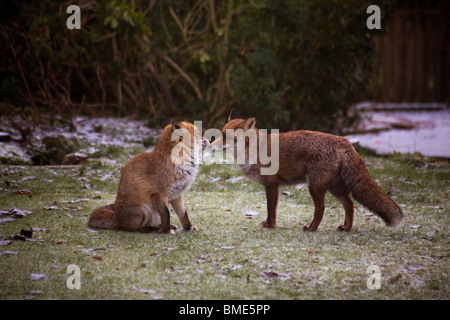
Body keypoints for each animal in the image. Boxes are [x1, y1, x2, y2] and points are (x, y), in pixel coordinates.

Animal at [211, 109, 404, 231]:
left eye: (226, 137)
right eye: (220, 134)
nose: (211, 146)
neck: (253, 150)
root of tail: (344, 141)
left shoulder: (272, 184)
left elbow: (271, 209)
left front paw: (270, 225)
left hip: (315, 187)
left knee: (321, 209)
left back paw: (312, 228)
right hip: (335, 187)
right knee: (350, 205)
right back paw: (346, 228)